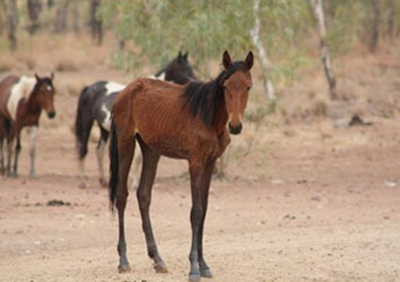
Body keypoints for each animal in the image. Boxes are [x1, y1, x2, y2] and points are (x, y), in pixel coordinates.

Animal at [109, 51, 253, 280]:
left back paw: (158, 259)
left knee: (144, 195)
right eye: (226, 86)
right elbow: (196, 212)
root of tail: (124, 93)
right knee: (122, 195)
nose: (235, 126)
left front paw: (204, 266)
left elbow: (204, 211)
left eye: (248, 86)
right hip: (126, 143)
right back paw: (123, 261)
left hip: (150, 150)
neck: (208, 117)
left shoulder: (210, 163)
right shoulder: (195, 163)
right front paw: (194, 268)